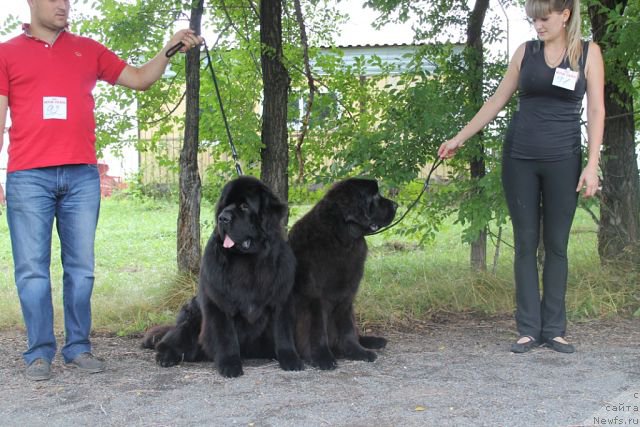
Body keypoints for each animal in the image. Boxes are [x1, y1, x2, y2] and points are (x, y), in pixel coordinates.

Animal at [144, 176, 304, 378]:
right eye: (224, 206)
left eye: (244, 206)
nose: (223, 218)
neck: (248, 259)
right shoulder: (219, 302)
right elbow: (225, 336)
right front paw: (230, 364)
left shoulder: (280, 299)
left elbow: (283, 332)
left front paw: (290, 359)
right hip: (193, 319)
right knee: (171, 339)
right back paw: (166, 356)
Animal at [288, 179, 396, 370]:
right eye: (375, 196)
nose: (396, 205)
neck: (342, 239)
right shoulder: (314, 298)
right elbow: (317, 330)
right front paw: (322, 357)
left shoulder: (347, 295)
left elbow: (347, 329)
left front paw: (357, 352)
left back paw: (372, 341)